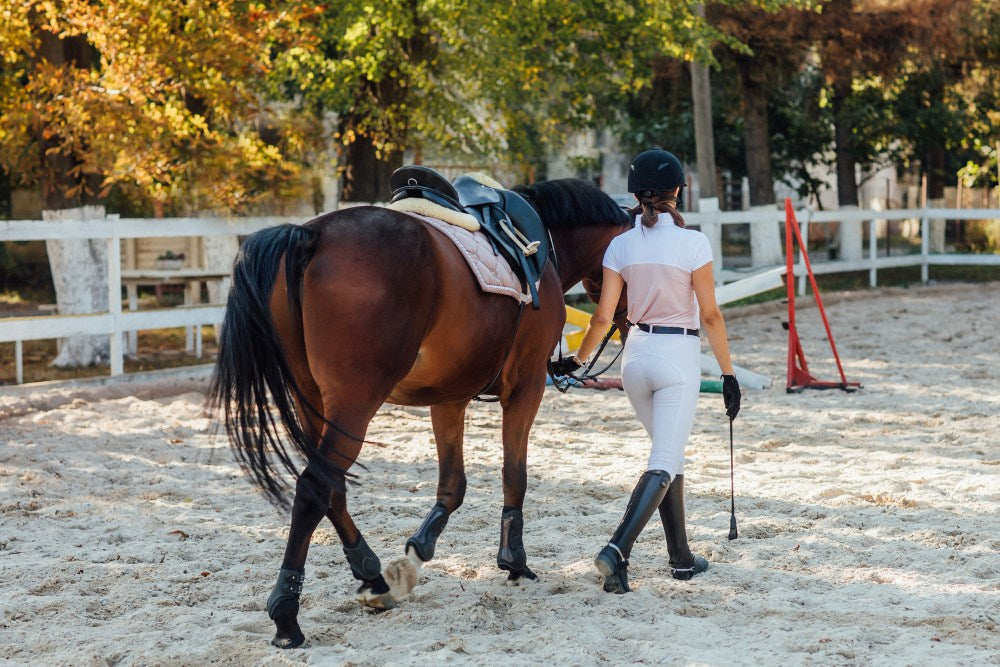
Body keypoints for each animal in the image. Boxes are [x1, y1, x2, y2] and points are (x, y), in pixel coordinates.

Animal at [209, 177, 631, 648]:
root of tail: (311, 235)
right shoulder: (525, 388)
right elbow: (514, 475)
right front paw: (514, 561)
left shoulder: (448, 398)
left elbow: (453, 486)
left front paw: (419, 550)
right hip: (354, 403)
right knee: (314, 489)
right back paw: (286, 613)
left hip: (313, 403)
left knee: (331, 488)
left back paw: (371, 575)